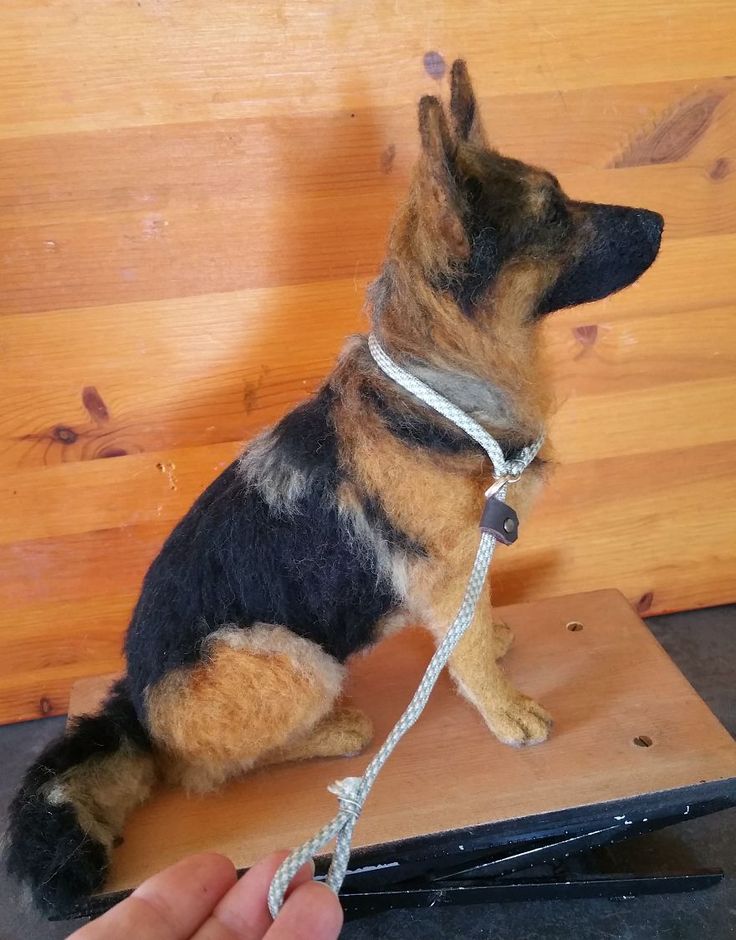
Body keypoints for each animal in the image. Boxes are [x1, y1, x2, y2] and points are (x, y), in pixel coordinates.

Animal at [5, 58, 660, 912]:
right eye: (553, 213)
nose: (662, 220)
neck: (439, 382)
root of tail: (135, 705)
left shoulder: (466, 565)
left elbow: (473, 627)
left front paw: (490, 641)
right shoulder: (444, 571)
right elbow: (470, 654)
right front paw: (506, 709)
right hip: (290, 656)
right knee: (200, 770)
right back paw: (331, 734)